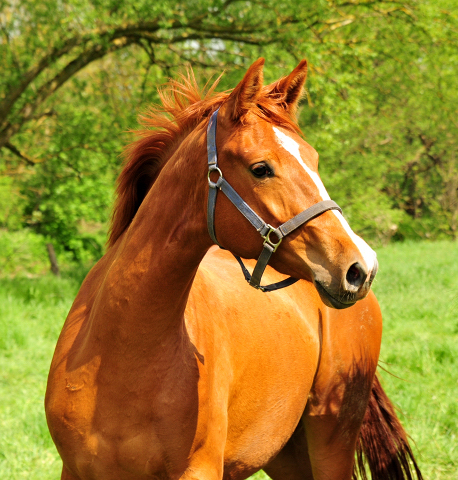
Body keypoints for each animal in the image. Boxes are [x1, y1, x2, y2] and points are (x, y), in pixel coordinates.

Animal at [45, 58, 422, 478]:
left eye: (314, 160)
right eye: (260, 168)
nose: (361, 266)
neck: (116, 357)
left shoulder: (200, 469)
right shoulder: (74, 470)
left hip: (331, 441)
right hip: (286, 454)